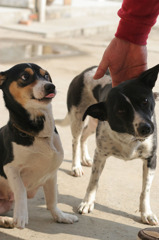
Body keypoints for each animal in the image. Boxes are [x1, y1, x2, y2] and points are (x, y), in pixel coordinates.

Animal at [0, 63, 77, 229]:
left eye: (46, 75)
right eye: (24, 76)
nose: (50, 86)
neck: (38, 134)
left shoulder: (51, 174)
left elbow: (52, 200)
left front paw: (61, 216)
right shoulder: (10, 167)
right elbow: (21, 189)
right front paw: (21, 214)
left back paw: (5, 220)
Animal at [55, 64, 159, 225]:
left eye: (145, 101)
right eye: (120, 111)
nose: (146, 128)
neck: (128, 136)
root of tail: (85, 71)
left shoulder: (151, 159)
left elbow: (145, 191)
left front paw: (146, 213)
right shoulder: (100, 155)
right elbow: (93, 182)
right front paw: (87, 202)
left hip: (94, 122)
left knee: (84, 136)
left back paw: (85, 159)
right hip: (78, 118)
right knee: (76, 141)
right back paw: (76, 166)